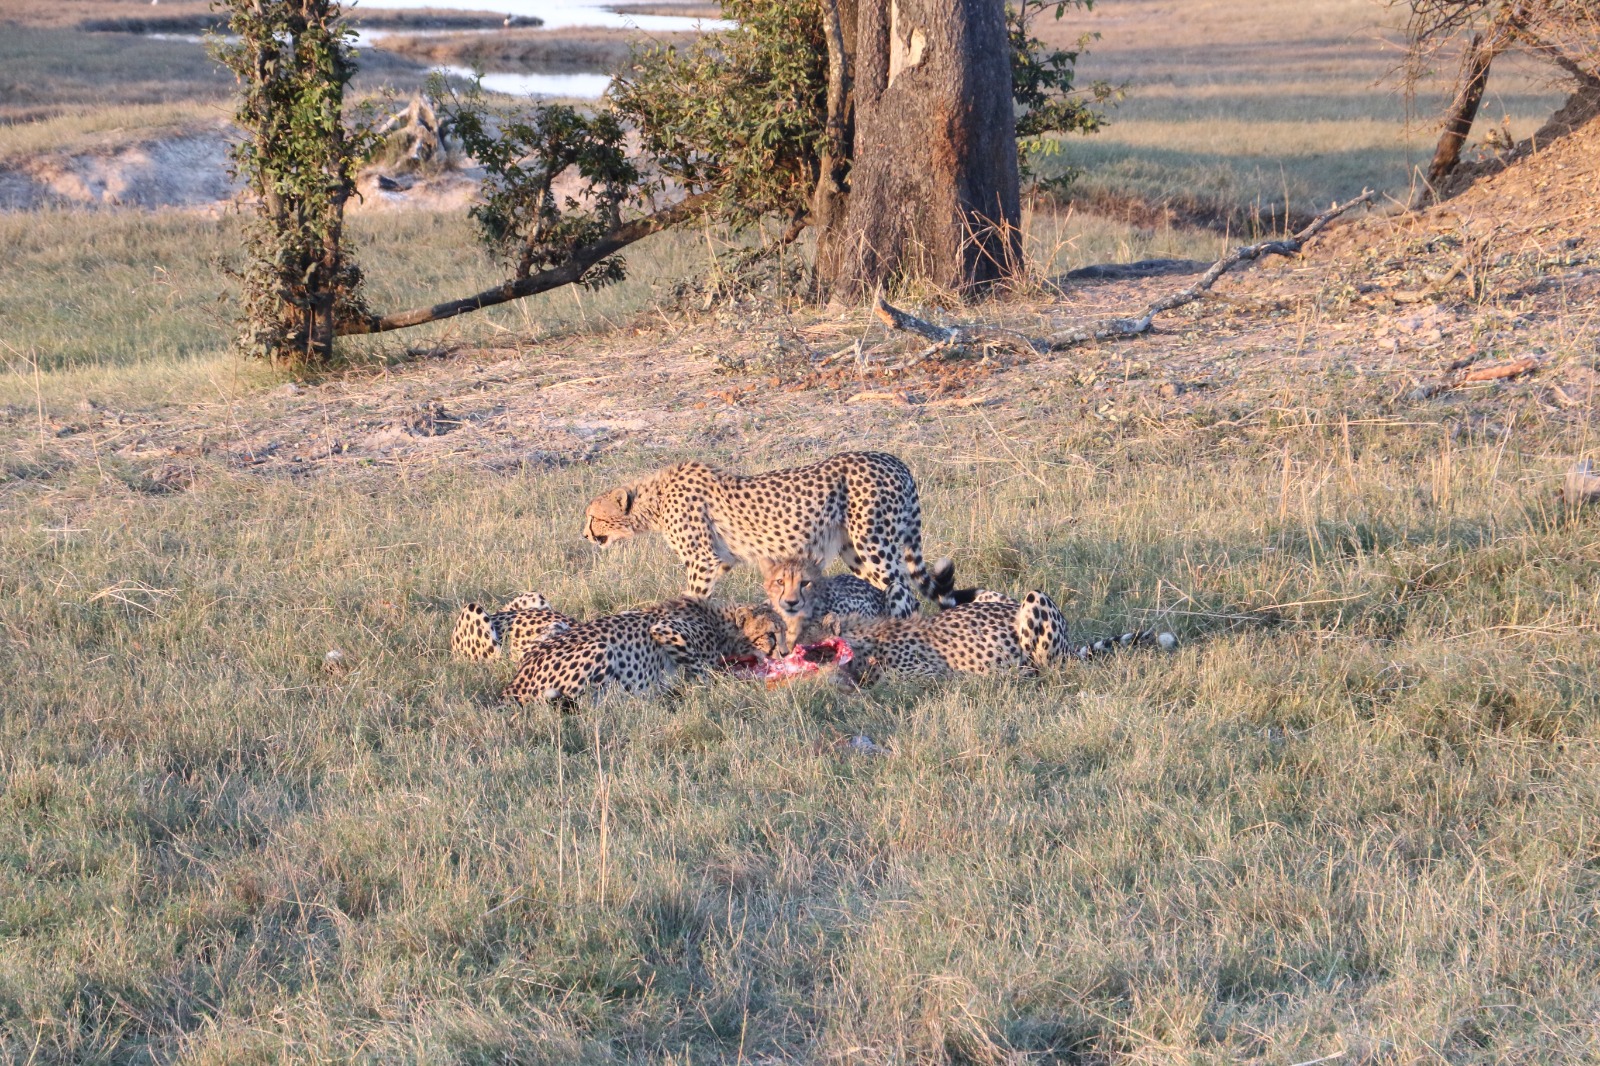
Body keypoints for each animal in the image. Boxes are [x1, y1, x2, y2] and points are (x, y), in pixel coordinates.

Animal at [496, 598, 777, 704]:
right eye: (771, 634)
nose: (782, 652)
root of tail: (515, 683)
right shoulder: (665, 629)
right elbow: (703, 672)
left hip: (556, 628)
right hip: (600, 648)